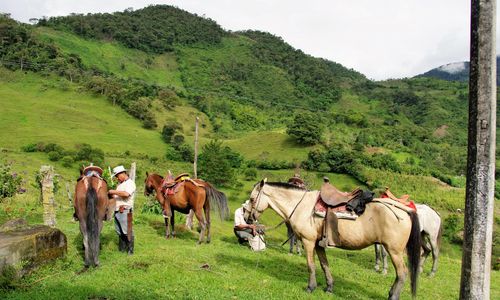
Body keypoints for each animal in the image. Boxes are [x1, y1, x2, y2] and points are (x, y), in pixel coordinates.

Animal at [248, 179, 420, 298]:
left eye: (251, 199)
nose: (248, 218)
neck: (302, 206)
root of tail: (404, 210)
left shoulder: (308, 241)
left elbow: (310, 265)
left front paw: (310, 287)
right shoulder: (319, 244)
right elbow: (324, 265)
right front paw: (329, 287)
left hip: (394, 251)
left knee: (402, 273)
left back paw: (393, 296)